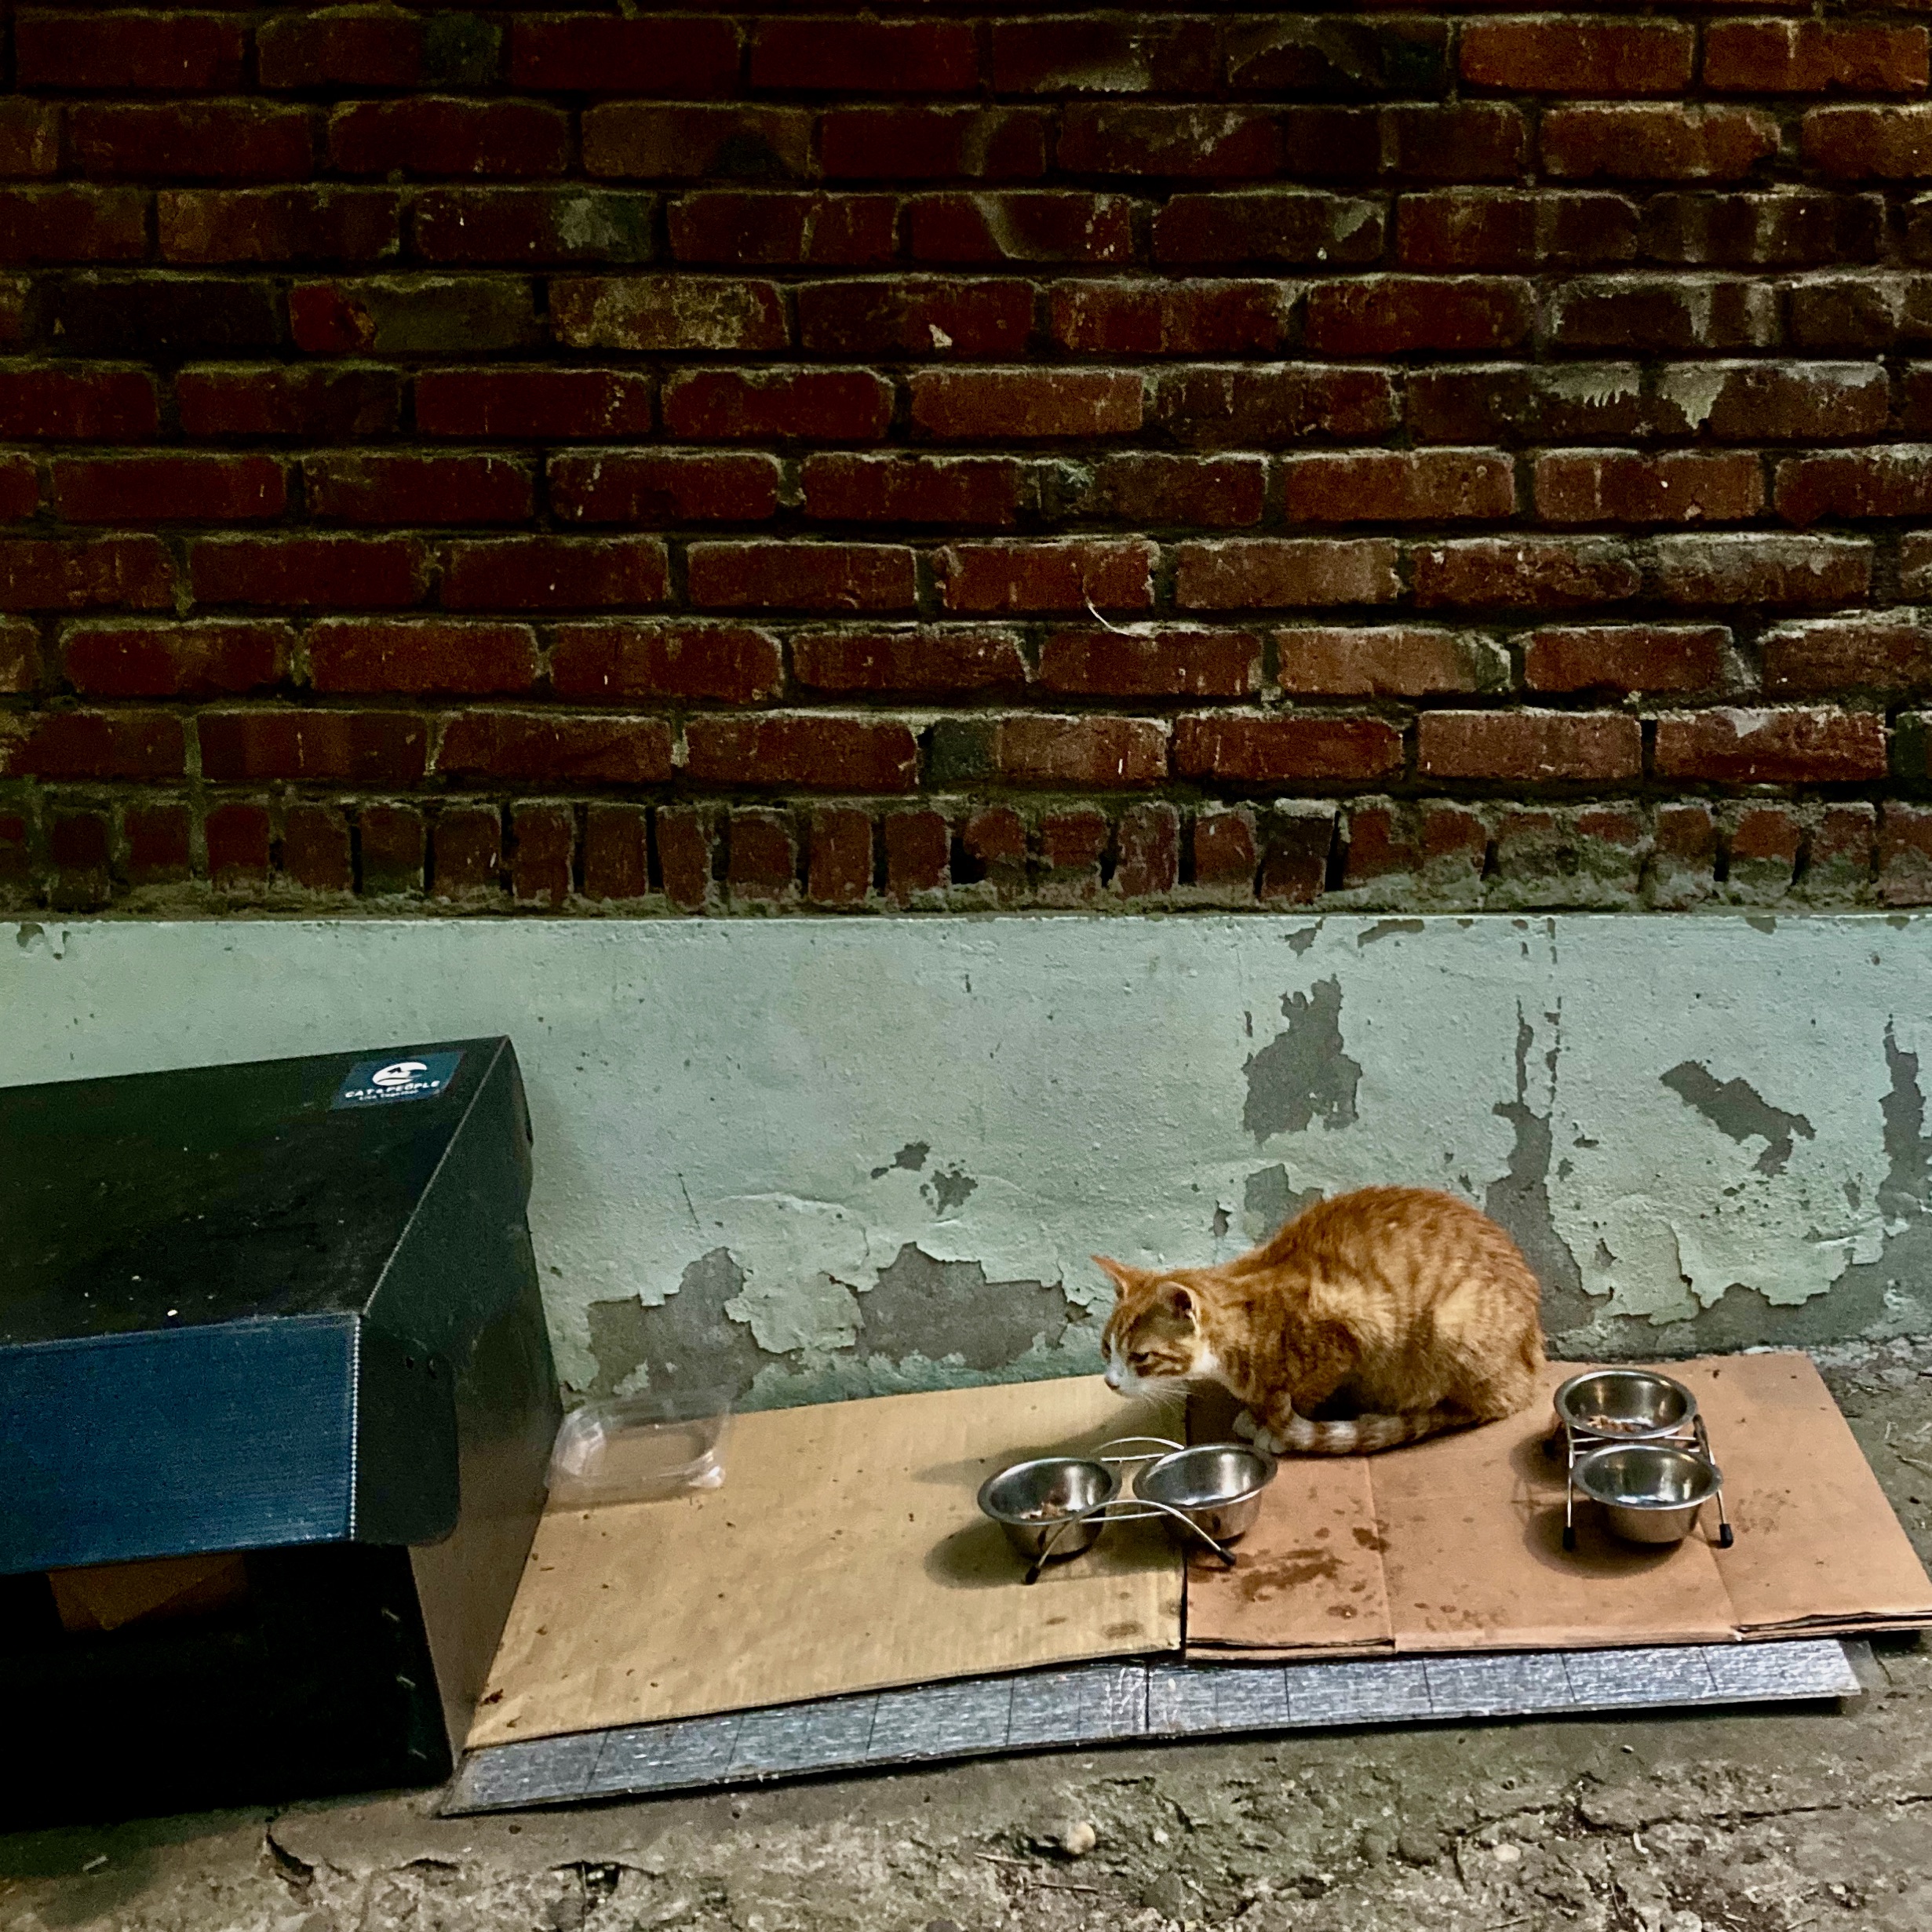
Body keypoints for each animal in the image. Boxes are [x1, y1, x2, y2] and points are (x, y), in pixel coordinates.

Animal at [1094, 1186, 1545, 1455]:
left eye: (1141, 1357)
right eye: (1106, 1349)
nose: (1110, 1383)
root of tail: (1532, 1364)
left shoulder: (1348, 1334)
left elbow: (1300, 1396)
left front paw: (1270, 1427)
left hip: (1452, 1326)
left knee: (1475, 1407)